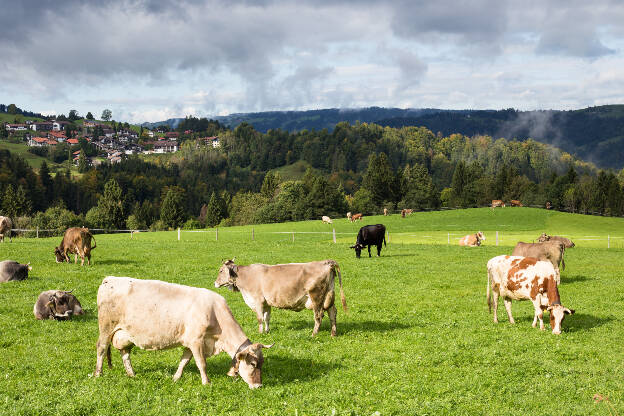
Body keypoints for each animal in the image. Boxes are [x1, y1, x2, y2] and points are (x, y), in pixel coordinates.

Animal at [96, 274, 272, 388]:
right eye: (253, 364)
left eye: (262, 363)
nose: (259, 385)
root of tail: (109, 279)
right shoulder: (196, 341)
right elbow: (201, 363)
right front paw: (206, 382)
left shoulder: (189, 342)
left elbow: (184, 361)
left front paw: (175, 377)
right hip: (106, 328)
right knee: (101, 348)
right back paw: (98, 374)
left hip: (124, 334)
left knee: (125, 353)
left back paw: (131, 374)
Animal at [217, 260, 348, 338]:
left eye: (221, 270)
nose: (215, 283)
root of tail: (326, 262)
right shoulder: (266, 303)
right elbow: (267, 318)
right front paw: (267, 331)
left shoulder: (258, 301)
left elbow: (260, 318)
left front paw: (260, 333)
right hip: (329, 296)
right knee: (332, 313)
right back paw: (333, 333)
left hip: (316, 297)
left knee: (319, 316)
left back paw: (313, 334)